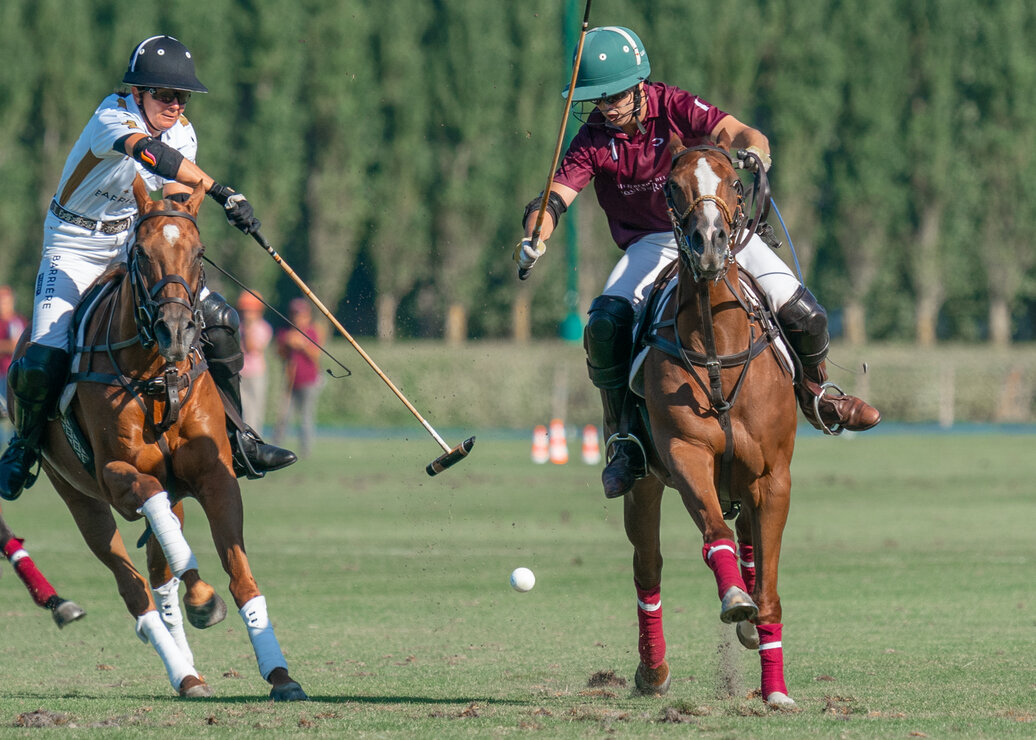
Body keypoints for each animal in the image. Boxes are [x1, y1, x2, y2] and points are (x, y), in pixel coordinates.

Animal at [18, 177, 302, 696]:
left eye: (199, 252)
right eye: (142, 253)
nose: (176, 331)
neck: (156, 375)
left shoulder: (215, 475)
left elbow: (240, 574)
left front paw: (281, 676)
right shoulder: (117, 475)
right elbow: (159, 521)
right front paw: (204, 598)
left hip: (175, 493)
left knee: (160, 572)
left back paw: (190, 663)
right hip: (78, 497)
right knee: (135, 587)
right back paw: (183, 671)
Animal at [621, 143, 799, 704]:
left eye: (735, 183)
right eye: (672, 186)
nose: (708, 246)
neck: (717, 346)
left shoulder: (774, 476)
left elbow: (770, 588)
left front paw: (775, 691)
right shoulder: (685, 454)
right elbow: (715, 535)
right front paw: (735, 600)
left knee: (749, 542)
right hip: (645, 484)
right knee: (648, 565)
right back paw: (653, 670)